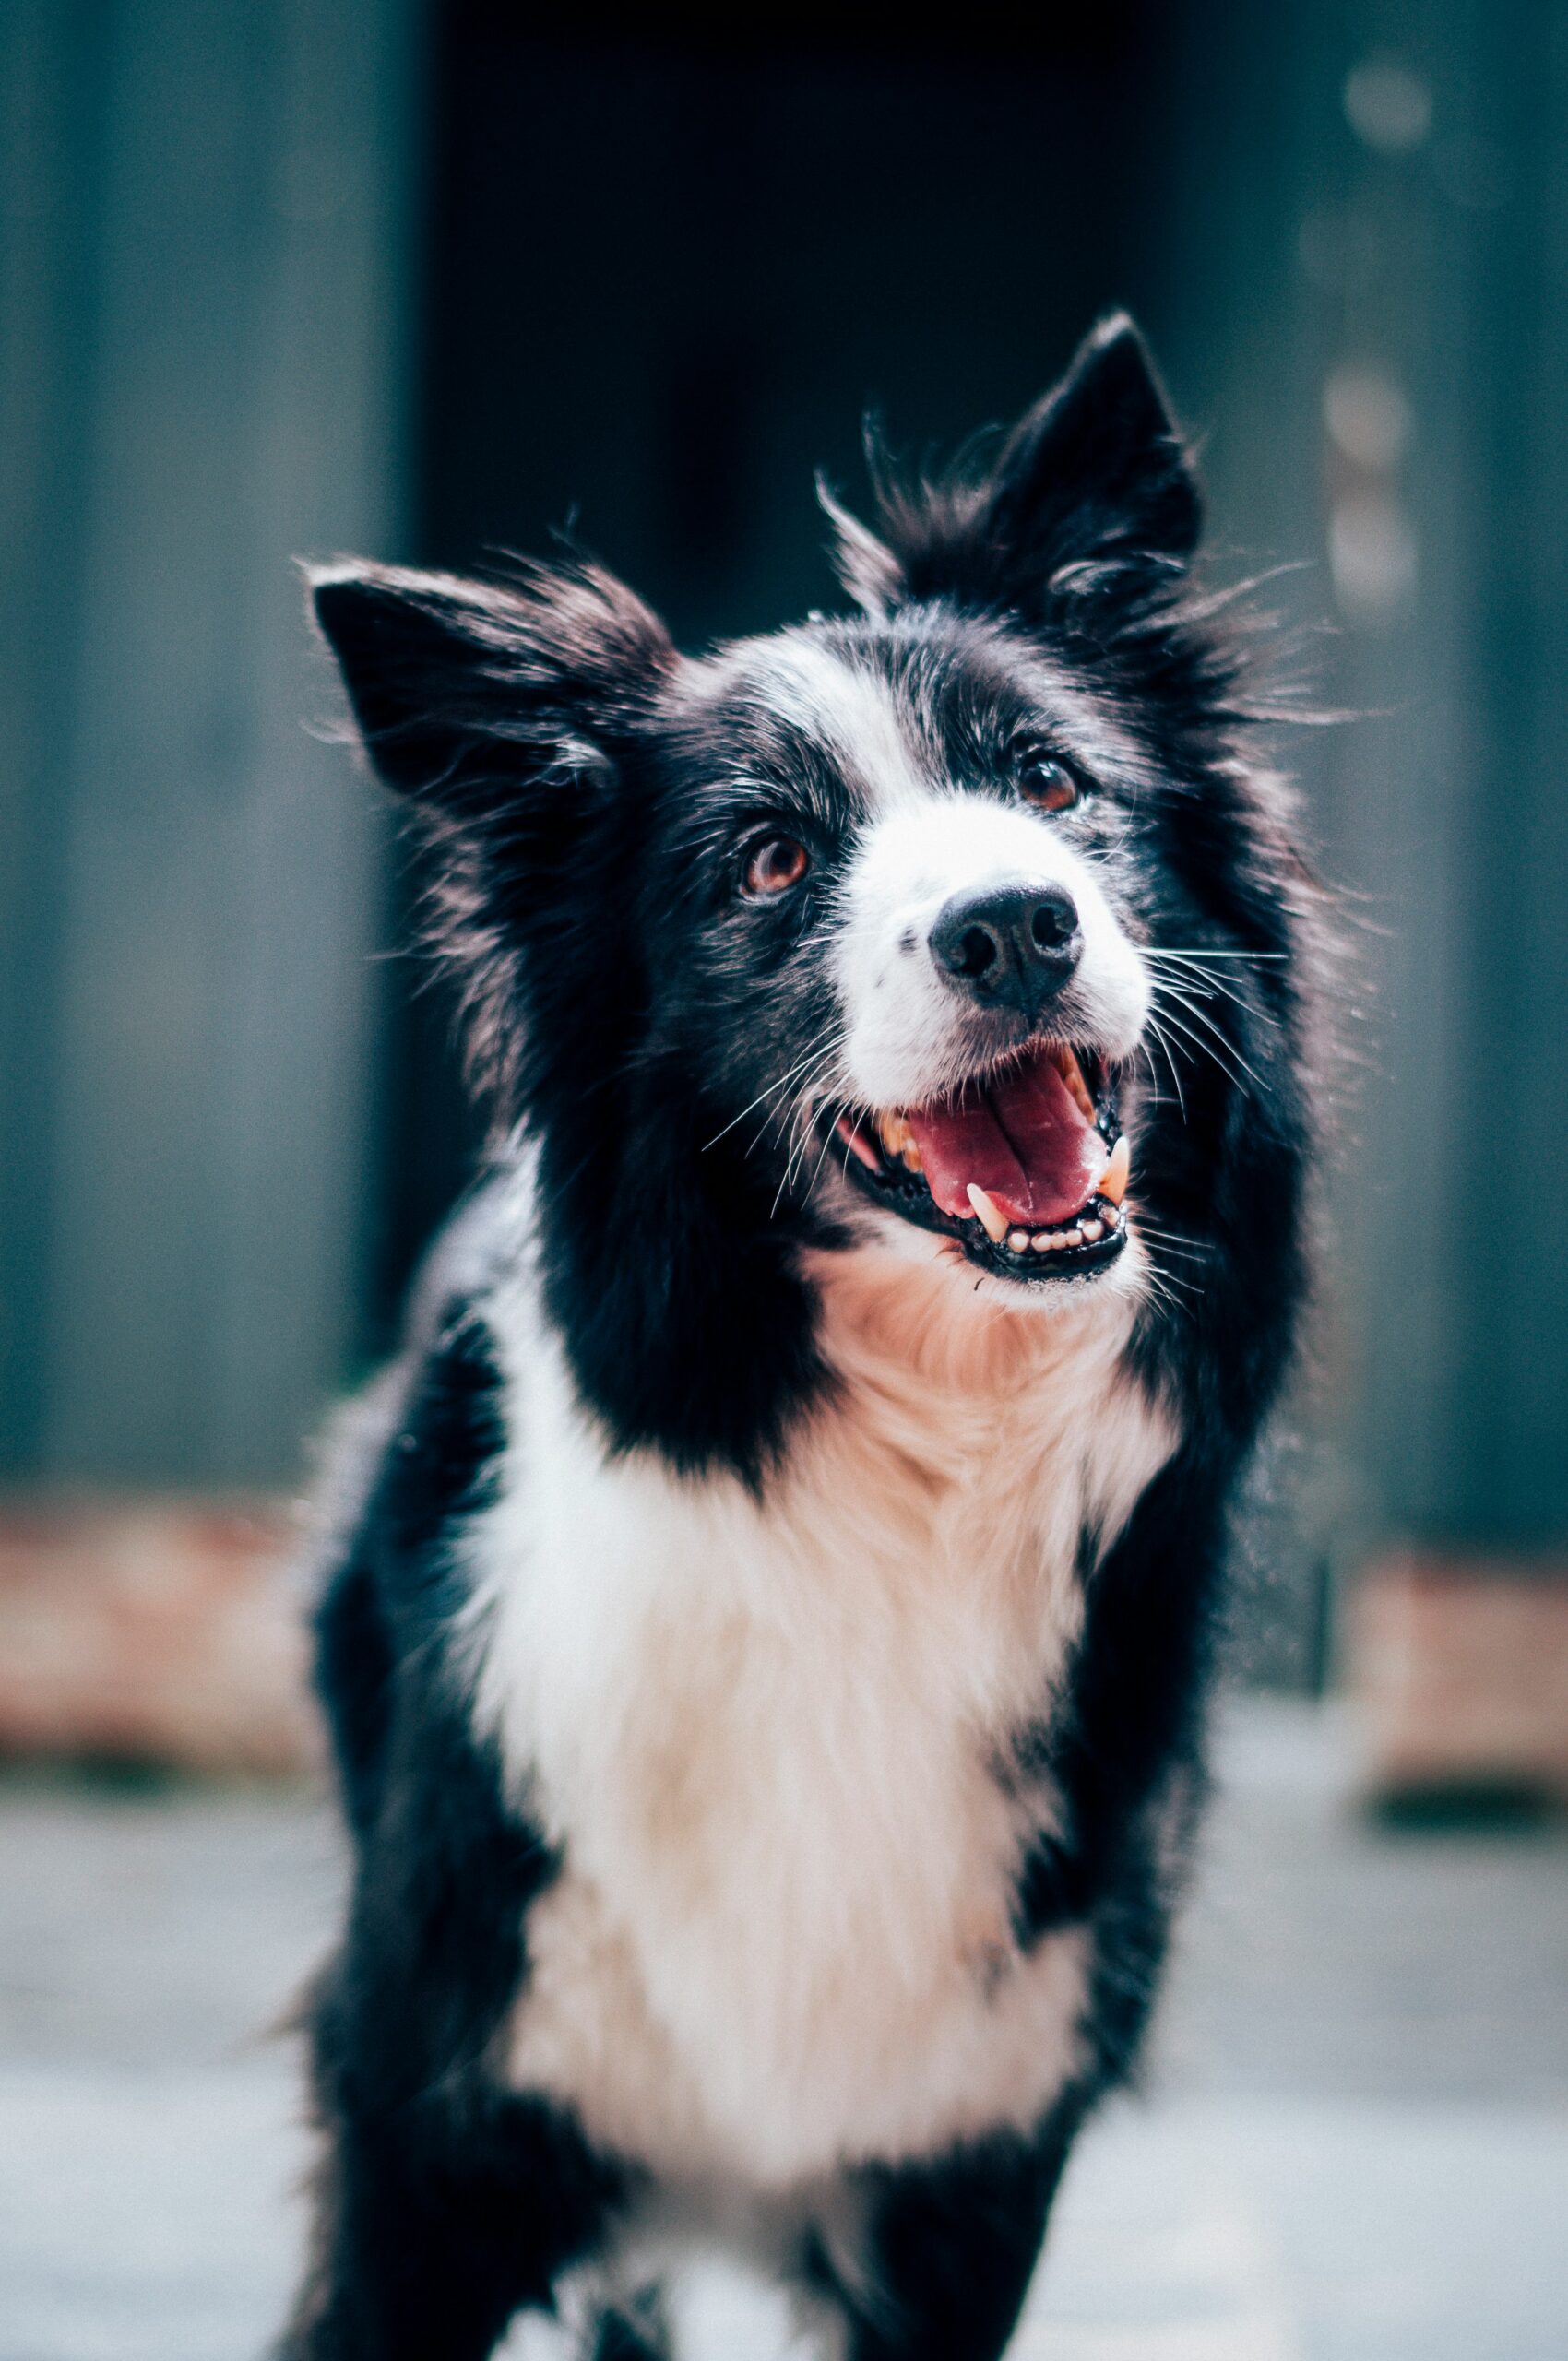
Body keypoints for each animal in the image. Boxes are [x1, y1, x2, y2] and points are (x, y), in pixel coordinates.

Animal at [288, 318, 1313, 2361]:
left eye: (1055, 784)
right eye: (764, 861)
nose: (1015, 922)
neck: (900, 1478)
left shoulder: (969, 2178)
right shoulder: (424, 2124)